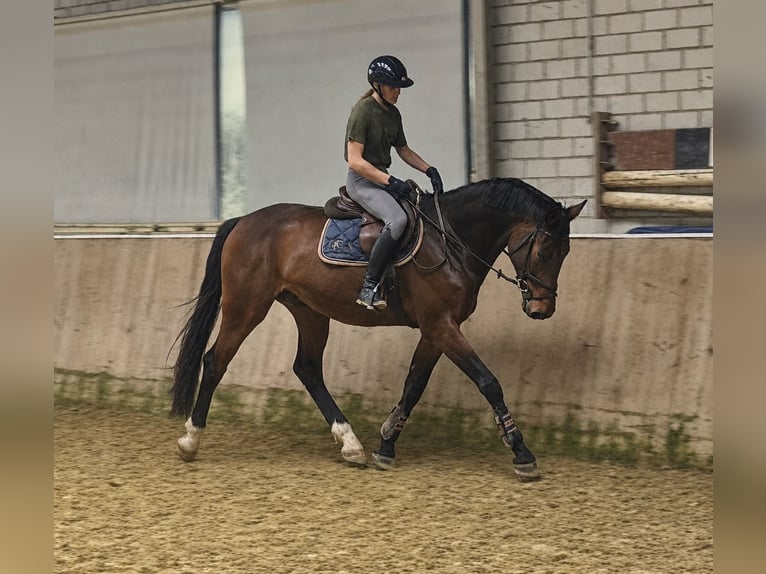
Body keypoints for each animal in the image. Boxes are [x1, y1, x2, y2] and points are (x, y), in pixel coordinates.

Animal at [169, 177, 585, 480]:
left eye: (566, 252)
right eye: (545, 251)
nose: (542, 309)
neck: (450, 241)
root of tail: (243, 221)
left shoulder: (435, 329)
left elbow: (414, 385)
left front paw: (386, 445)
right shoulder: (441, 324)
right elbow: (488, 382)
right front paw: (522, 453)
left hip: (310, 311)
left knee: (307, 369)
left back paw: (350, 444)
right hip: (246, 307)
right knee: (216, 360)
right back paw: (191, 439)